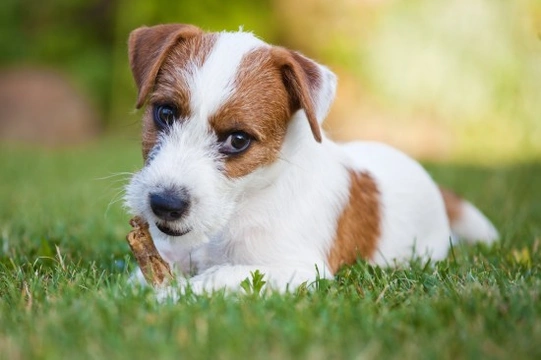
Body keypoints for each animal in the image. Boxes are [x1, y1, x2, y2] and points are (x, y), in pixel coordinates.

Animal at [123, 23, 498, 296]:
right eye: (165, 113)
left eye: (238, 140)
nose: (164, 203)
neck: (241, 207)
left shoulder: (298, 269)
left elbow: (220, 276)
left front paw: (172, 296)